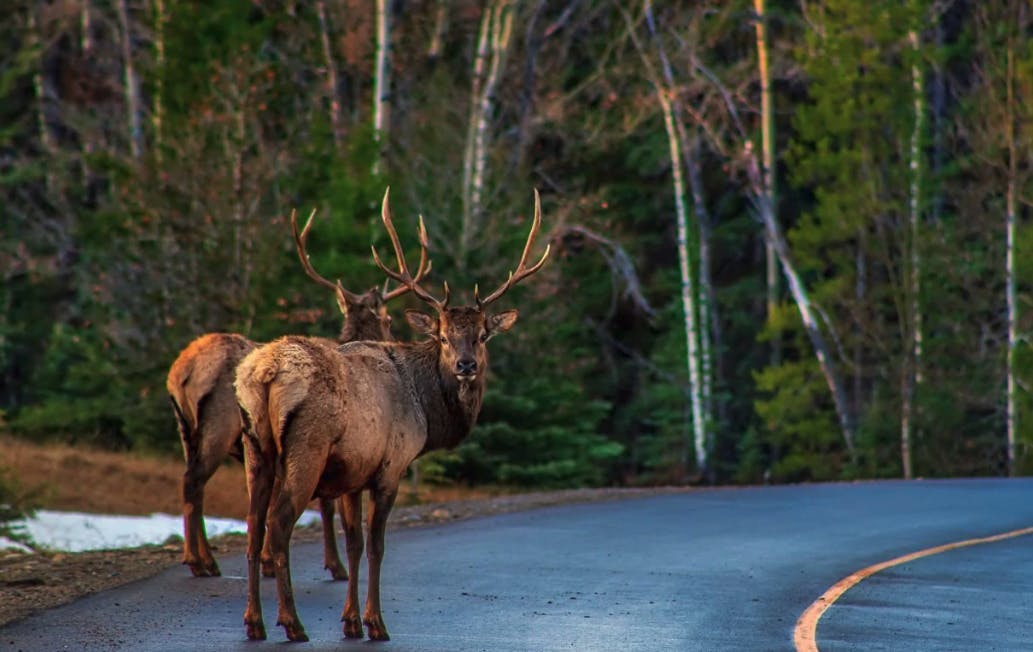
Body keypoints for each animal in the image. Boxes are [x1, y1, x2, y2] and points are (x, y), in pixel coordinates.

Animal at [167, 207, 425, 574]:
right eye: (388, 320)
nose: (392, 341)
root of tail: (182, 371)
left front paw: (268, 559)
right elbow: (327, 506)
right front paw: (333, 565)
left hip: (184, 429)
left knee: (191, 482)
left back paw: (203, 558)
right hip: (219, 426)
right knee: (194, 481)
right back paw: (200, 562)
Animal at [236, 189, 553, 644]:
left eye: (481, 336)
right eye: (442, 337)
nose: (466, 365)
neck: (424, 407)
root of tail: (264, 373)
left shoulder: (352, 473)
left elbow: (354, 544)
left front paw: (350, 621)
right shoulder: (390, 465)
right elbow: (377, 545)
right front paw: (375, 623)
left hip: (254, 447)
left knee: (252, 525)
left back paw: (254, 622)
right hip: (306, 448)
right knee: (278, 525)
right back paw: (292, 623)